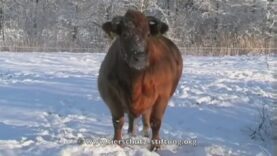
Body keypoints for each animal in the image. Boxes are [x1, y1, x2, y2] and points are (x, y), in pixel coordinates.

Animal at [98, 10, 182, 151]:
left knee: (146, 116)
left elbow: (156, 122)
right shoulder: (111, 96)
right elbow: (118, 121)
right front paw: (117, 143)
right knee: (133, 117)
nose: (140, 57)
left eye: (148, 34)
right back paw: (132, 132)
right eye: (125, 34)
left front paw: (155, 146)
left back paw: (146, 132)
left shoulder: (162, 96)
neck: (135, 80)